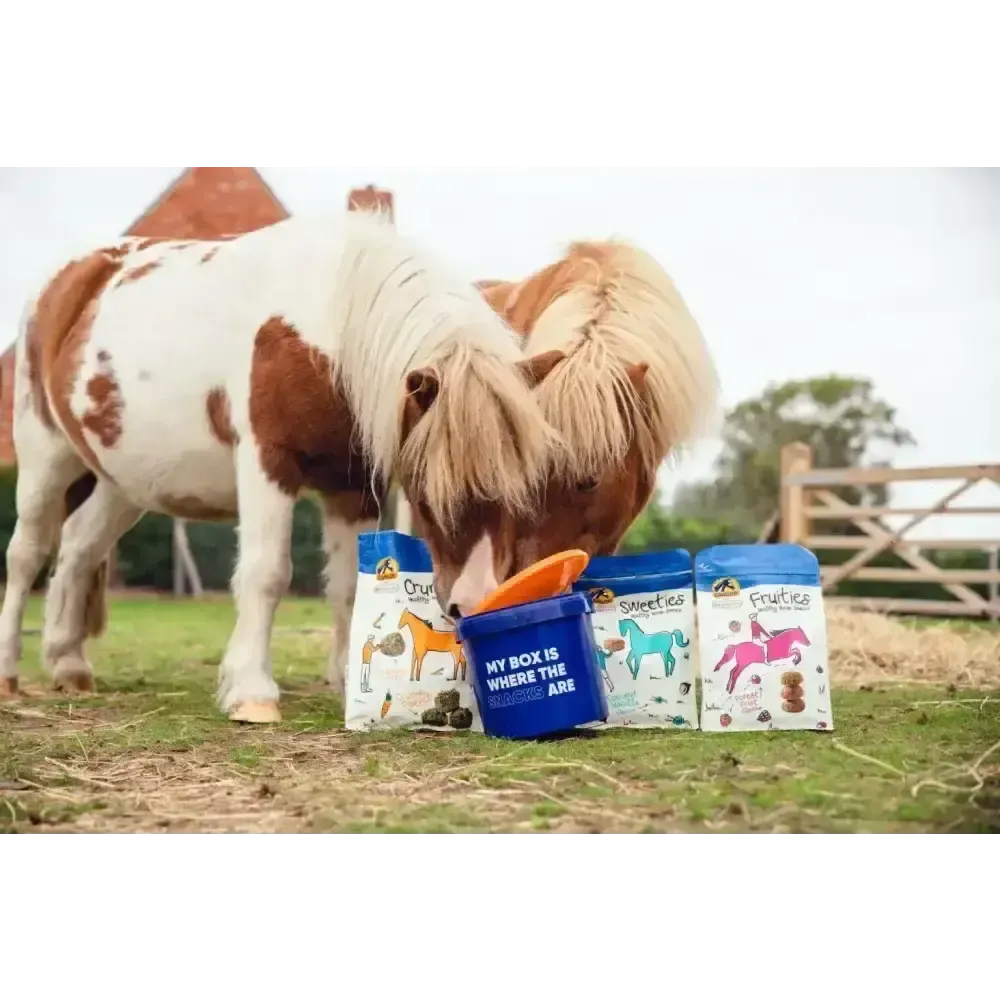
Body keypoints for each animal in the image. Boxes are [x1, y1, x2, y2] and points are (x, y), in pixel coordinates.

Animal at [0, 209, 565, 723]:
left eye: (528, 489)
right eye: (430, 494)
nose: (475, 604)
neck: (327, 324)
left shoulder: (351, 485)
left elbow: (346, 584)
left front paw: (346, 683)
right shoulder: (267, 463)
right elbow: (266, 573)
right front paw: (251, 692)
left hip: (122, 484)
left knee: (78, 548)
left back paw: (68, 663)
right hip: (46, 457)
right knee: (27, 553)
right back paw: (10, 673)